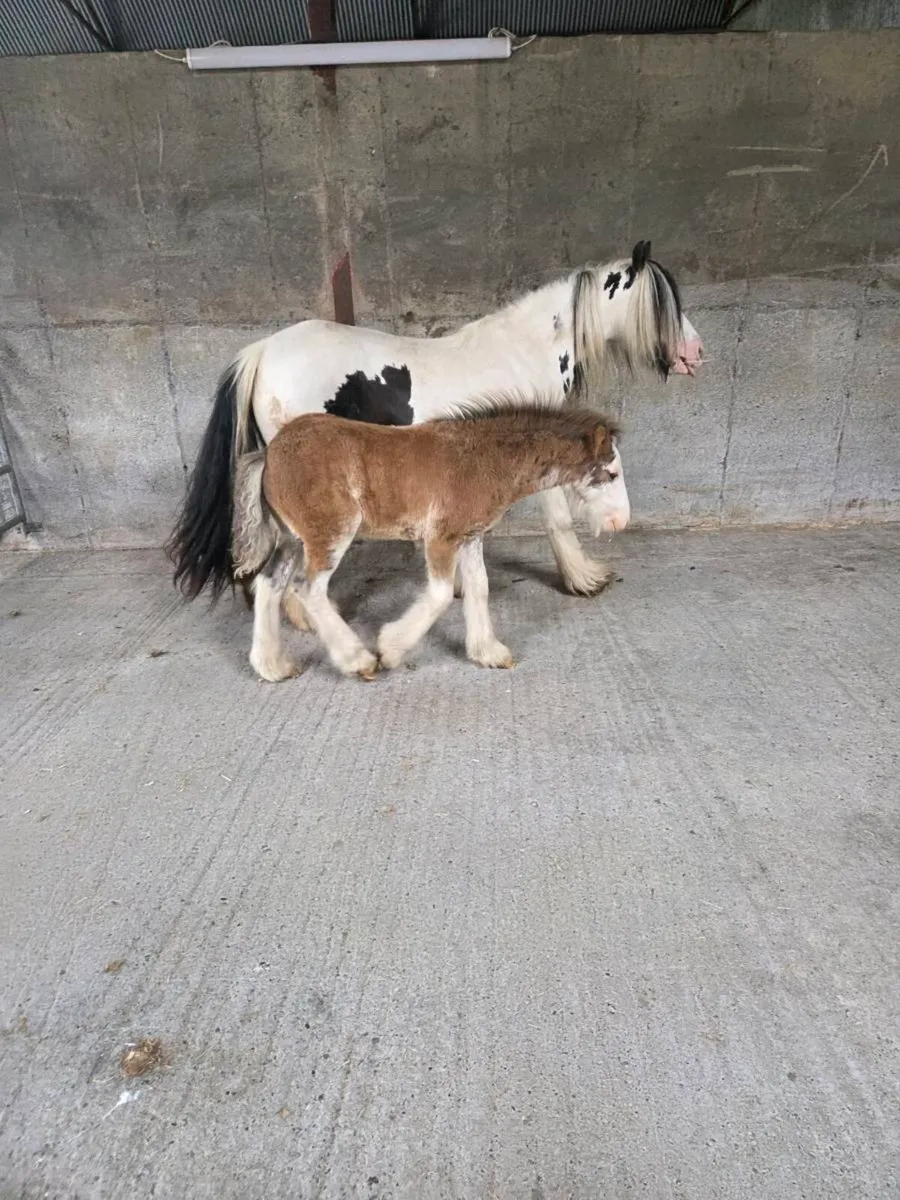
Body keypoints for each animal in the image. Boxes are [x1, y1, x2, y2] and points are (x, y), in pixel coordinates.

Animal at [167, 239, 701, 609]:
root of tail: (262, 350)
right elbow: (558, 520)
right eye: (665, 302)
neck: (525, 350)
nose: (695, 353)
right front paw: (584, 579)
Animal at [230, 401, 628, 681]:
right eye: (610, 473)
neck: (486, 459)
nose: (621, 521)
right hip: (330, 533)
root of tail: (268, 454)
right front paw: (390, 648)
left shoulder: (469, 537)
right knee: (308, 589)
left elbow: (479, 588)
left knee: (269, 584)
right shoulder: (441, 537)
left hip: (292, 539)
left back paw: (273, 666)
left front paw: (488, 652)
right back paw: (357, 660)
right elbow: (440, 595)